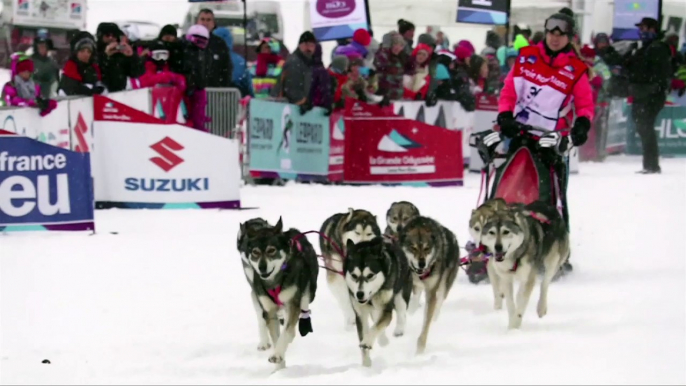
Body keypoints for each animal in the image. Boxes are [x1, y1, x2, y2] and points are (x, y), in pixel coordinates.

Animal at [245, 217, 320, 368]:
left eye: (271, 250)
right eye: (255, 252)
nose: (262, 267)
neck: (274, 281)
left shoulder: (292, 303)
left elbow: (286, 332)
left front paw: (277, 354)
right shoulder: (269, 310)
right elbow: (276, 337)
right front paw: (279, 365)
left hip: (308, 291)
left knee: (303, 304)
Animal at [346, 237, 412, 366]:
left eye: (370, 275)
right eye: (354, 275)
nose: (359, 294)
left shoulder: (386, 308)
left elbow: (377, 327)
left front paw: (367, 341)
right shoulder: (360, 314)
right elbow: (367, 331)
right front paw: (366, 365)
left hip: (400, 297)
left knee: (401, 314)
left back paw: (398, 331)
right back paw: (383, 339)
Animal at [398, 216, 462, 354]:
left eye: (427, 248)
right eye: (413, 247)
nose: (422, 263)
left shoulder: (432, 291)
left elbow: (426, 323)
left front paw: (420, 349)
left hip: (445, 283)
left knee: (440, 300)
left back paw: (435, 316)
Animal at [482, 201, 572, 330]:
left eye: (506, 231)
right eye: (492, 232)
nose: (498, 247)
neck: (515, 256)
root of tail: (548, 206)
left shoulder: (528, 277)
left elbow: (521, 301)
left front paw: (515, 327)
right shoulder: (506, 278)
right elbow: (510, 303)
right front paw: (511, 325)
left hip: (552, 261)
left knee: (544, 284)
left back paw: (541, 307)